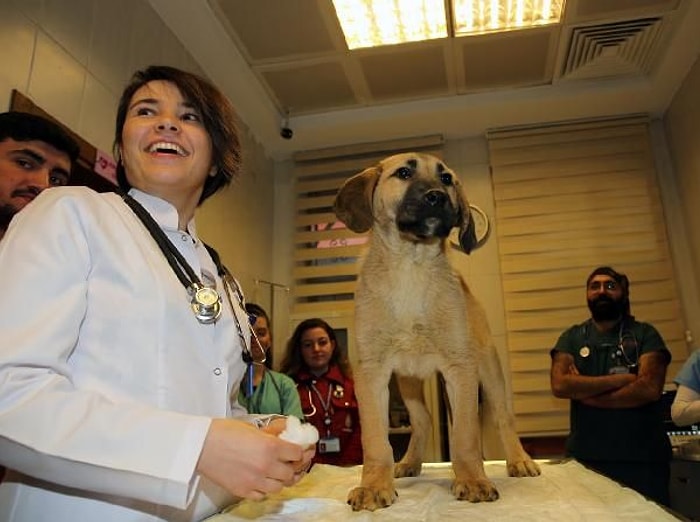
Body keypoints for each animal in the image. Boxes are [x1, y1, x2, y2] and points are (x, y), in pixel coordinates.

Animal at [334, 152, 540, 510]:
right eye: (403, 173)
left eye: (447, 179)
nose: (438, 198)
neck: (410, 267)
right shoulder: (372, 372)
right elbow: (375, 441)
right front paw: (374, 485)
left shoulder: (460, 369)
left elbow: (466, 436)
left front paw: (472, 479)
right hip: (408, 380)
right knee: (424, 419)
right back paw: (410, 461)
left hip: (487, 368)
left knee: (503, 417)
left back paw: (519, 460)